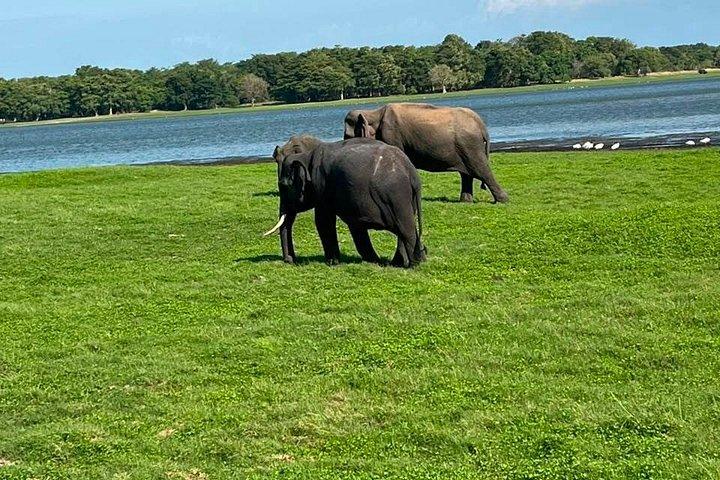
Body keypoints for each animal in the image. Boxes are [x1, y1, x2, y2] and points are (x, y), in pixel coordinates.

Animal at [265, 136, 427, 268]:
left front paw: (333, 263)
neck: (307, 155)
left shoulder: (322, 188)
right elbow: (355, 226)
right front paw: (374, 261)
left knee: (405, 229)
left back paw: (414, 262)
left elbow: (323, 222)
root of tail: (411, 172)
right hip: (405, 200)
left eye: (284, 186)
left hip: (396, 197)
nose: (290, 260)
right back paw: (401, 262)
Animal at [343, 103, 509, 204]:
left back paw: (502, 201)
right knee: (467, 174)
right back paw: (465, 201)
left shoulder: (391, 135)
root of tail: (480, 123)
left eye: (348, 136)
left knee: (481, 170)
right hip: (465, 147)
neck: (373, 112)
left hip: (470, 145)